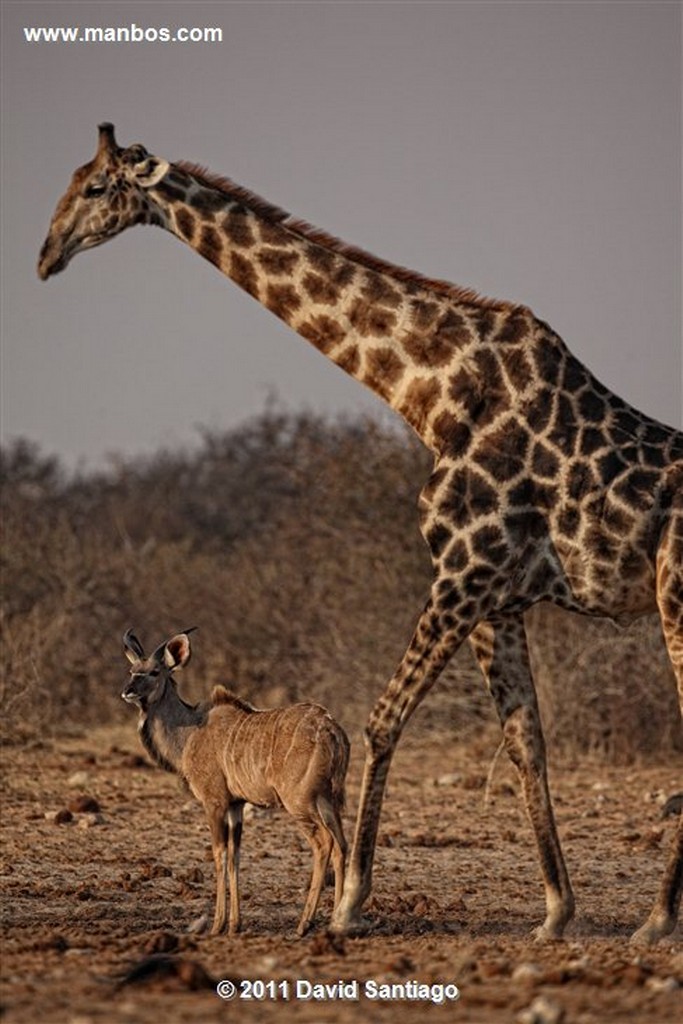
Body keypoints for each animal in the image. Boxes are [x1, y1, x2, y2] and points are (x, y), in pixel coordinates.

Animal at [120, 622, 350, 937]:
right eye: (132, 671)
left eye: (155, 672)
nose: (127, 691)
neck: (190, 733)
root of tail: (333, 731)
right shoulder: (236, 806)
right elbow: (235, 856)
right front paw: (234, 924)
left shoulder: (214, 802)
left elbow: (219, 853)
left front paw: (217, 925)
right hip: (328, 800)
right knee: (342, 845)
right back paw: (337, 921)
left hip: (300, 803)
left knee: (324, 843)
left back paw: (305, 924)